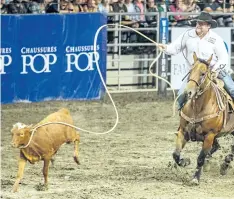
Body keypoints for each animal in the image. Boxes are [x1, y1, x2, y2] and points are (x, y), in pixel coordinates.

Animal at [172, 52, 234, 184]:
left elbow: (200, 158)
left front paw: (195, 178)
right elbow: (176, 154)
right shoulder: (183, 131)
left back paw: (225, 163)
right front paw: (185, 162)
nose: (188, 92)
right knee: (217, 147)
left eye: (203, 73)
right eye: (190, 71)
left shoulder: (210, 135)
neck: (198, 108)